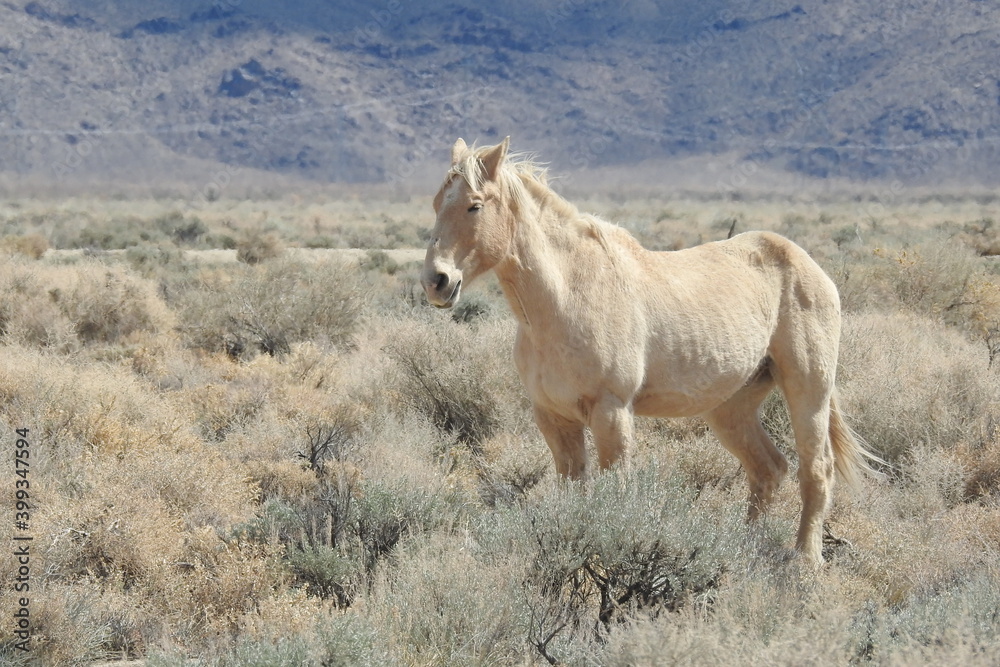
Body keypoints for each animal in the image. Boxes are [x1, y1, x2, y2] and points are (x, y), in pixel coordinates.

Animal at [420, 138, 876, 568]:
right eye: (436, 203)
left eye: (475, 205)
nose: (436, 282)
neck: (566, 296)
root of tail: (807, 263)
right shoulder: (553, 418)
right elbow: (574, 491)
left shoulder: (611, 413)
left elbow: (615, 494)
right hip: (732, 407)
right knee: (768, 469)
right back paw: (744, 553)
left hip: (807, 390)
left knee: (816, 469)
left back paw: (807, 560)